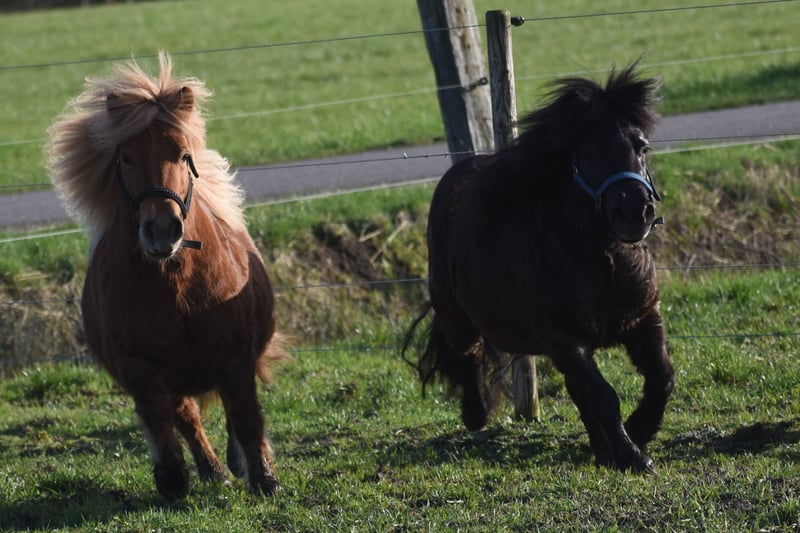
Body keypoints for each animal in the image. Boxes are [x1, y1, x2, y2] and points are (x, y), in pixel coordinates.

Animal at [46, 52, 286, 500]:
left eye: (183, 154)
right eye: (125, 158)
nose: (162, 230)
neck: (177, 288)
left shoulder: (236, 354)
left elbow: (245, 415)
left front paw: (265, 478)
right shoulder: (139, 366)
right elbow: (163, 420)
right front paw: (173, 480)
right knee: (187, 416)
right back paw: (212, 470)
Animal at [404, 63, 675, 473]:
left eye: (641, 146)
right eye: (589, 154)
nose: (634, 212)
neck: (603, 260)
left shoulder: (643, 318)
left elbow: (660, 378)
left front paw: (638, 431)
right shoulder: (564, 339)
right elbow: (604, 396)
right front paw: (632, 454)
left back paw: (600, 446)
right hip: (455, 312)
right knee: (468, 356)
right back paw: (475, 415)